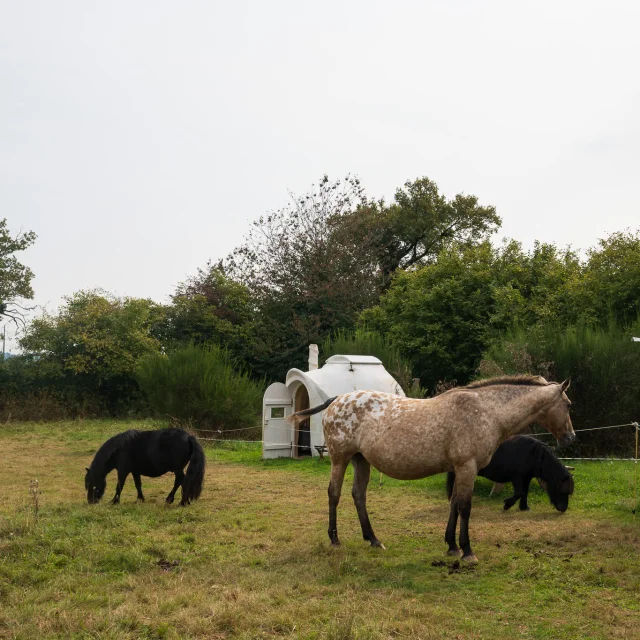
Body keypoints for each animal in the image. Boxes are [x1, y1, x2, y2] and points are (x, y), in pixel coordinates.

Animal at [444, 432, 576, 512]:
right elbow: (519, 493)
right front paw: (507, 504)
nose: (563, 508)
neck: (533, 455)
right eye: (561, 490)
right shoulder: (517, 478)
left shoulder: (526, 478)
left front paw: (524, 507)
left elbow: (524, 493)